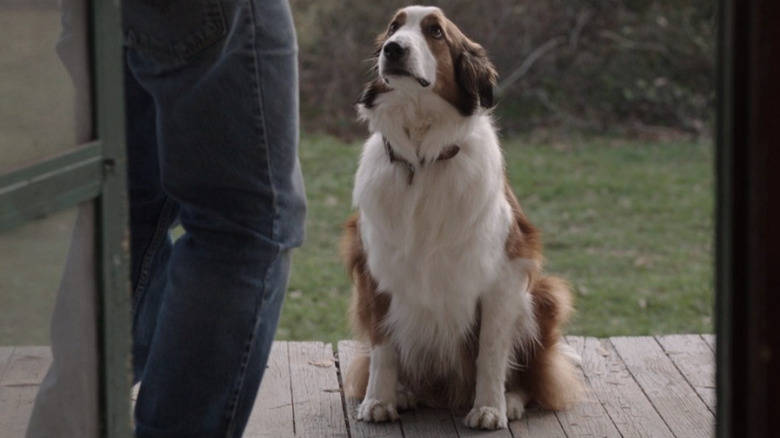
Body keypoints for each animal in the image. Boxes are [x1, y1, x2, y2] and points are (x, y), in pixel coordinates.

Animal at [342, 6, 580, 432]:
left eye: (435, 32)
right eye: (393, 27)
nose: (393, 49)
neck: (422, 157)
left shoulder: (504, 275)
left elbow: (490, 350)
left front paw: (489, 408)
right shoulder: (374, 268)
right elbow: (383, 345)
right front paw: (379, 400)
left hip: (543, 294)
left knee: (534, 375)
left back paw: (511, 399)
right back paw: (405, 392)